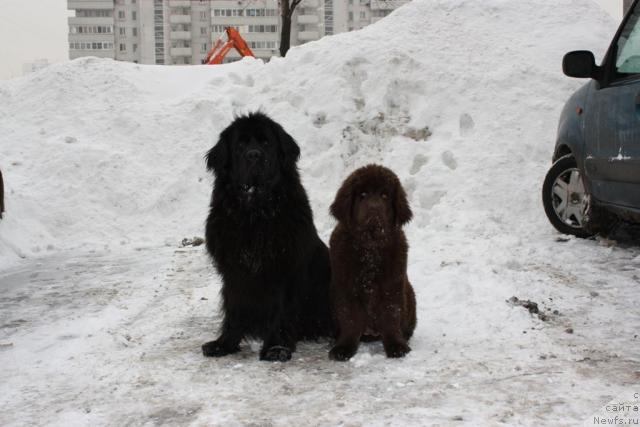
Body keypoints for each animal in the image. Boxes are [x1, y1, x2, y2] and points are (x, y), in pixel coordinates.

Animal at [202, 112, 332, 362]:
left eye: (265, 143)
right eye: (240, 144)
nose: (254, 155)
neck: (255, 213)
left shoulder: (285, 270)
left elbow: (281, 311)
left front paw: (276, 348)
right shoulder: (234, 272)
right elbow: (233, 309)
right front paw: (224, 344)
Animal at [330, 165, 416, 362]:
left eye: (384, 195)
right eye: (362, 194)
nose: (374, 208)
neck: (370, 248)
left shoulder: (392, 286)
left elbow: (391, 316)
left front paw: (396, 346)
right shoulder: (347, 287)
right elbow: (350, 319)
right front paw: (344, 348)